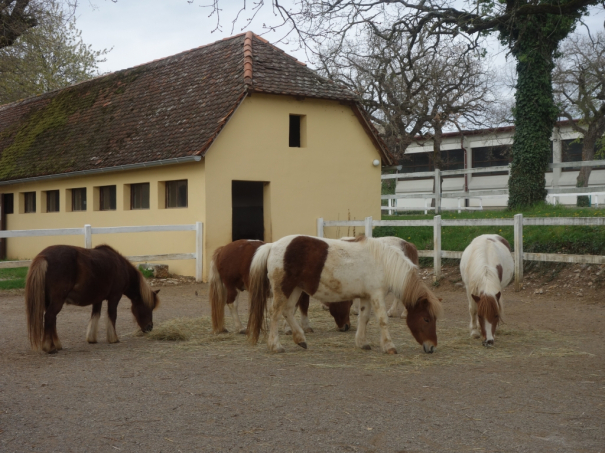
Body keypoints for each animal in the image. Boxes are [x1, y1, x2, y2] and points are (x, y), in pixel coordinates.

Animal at [25, 244, 159, 354]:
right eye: (149, 306)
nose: (149, 327)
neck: (121, 266)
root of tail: (44, 257)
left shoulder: (97, 299)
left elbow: (95, 315)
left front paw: (92, 338)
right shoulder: (115, 297)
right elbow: (112, 315)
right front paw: (113, 338)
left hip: (48, 301)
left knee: (52, 320)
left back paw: (57, 345)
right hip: (57, 300)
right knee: (49, 317)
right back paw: (50, 348)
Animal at [209, 238, 352, 334]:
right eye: (348, 303)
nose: (347, 326)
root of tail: (223, 249)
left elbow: (302, 306)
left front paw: (303, 326)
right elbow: (292, 308)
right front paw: (289, 328)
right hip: (233, 287)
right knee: (232, 304)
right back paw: (240, 327)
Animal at [247, 235, 444, 354]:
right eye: (426, 319)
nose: (431, 347)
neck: (384, 263)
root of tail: (272, 245)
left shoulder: (366, 296)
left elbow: (364, 318)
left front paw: (362, 342)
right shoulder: (377, 295)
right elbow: (382, 320)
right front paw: (389, 346)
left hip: (295, 289)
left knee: (287, 311)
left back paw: (300, 339)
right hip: (284, 289)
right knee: (275, 313)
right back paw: (275, 345)